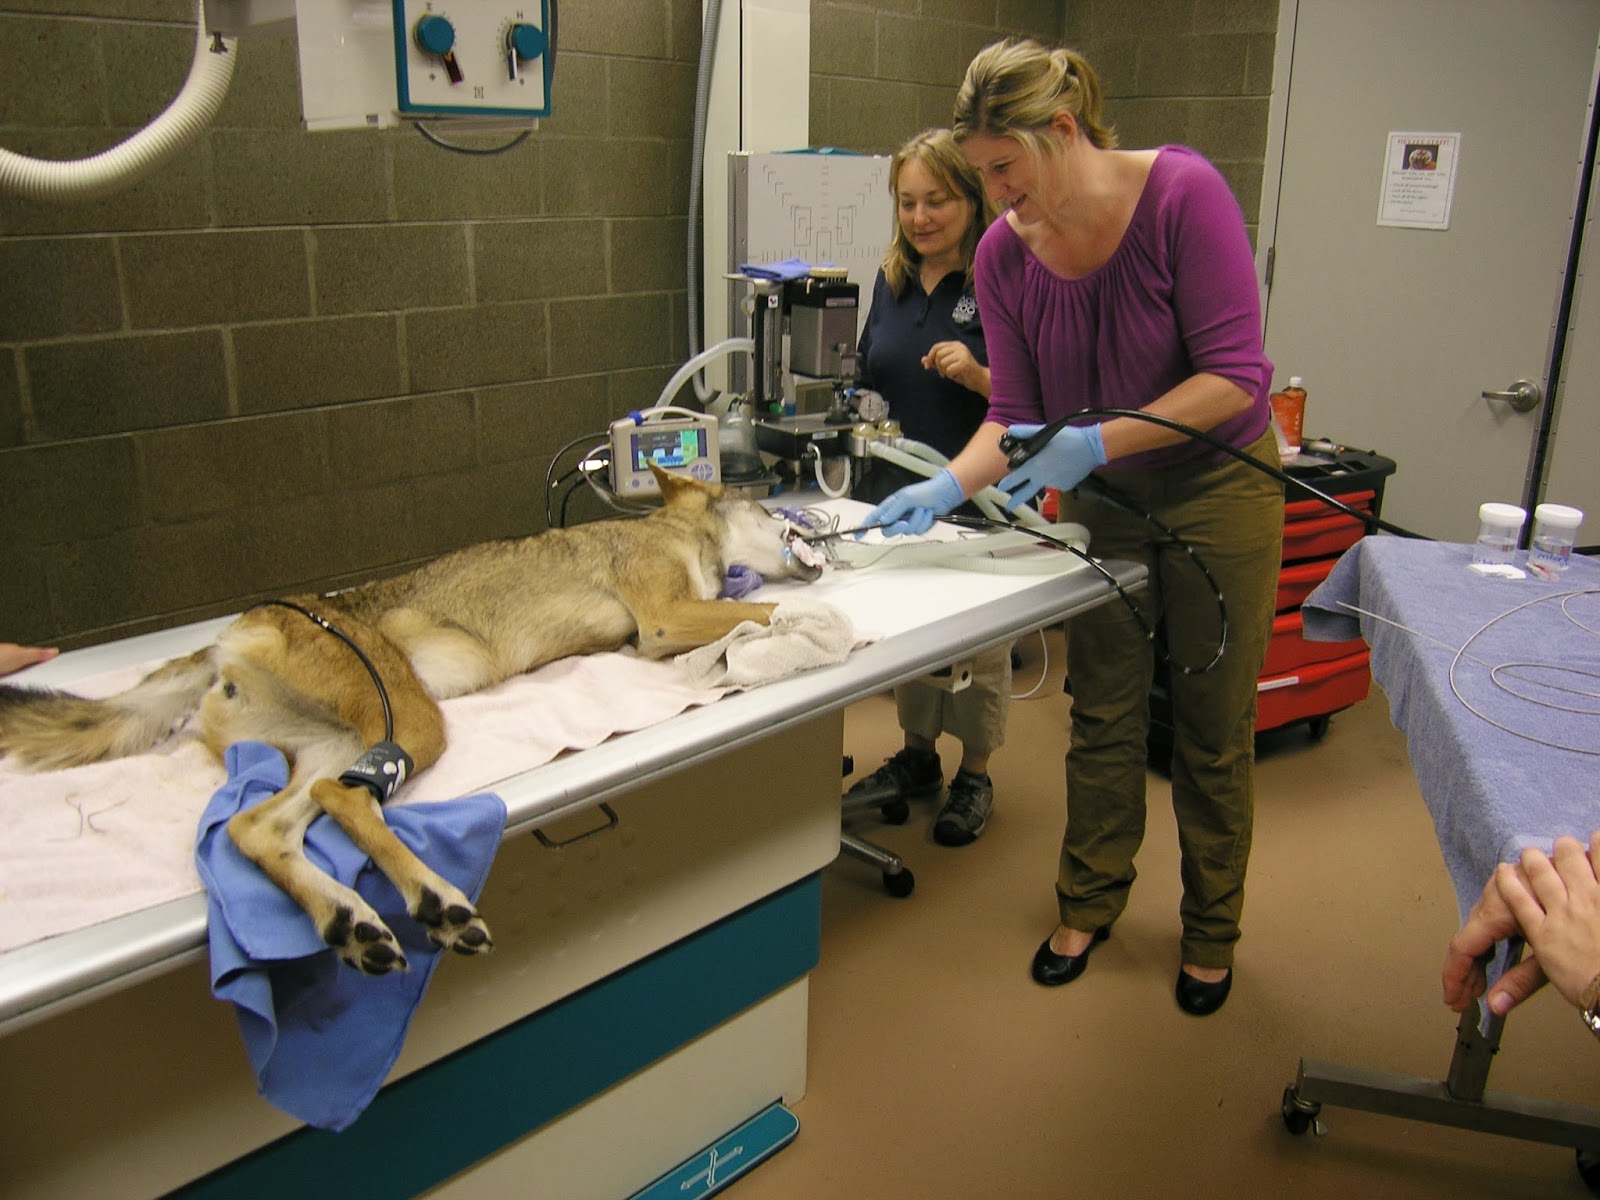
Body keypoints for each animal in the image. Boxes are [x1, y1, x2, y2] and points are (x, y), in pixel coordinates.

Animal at [0, 464, 824, 974]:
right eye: (770, 504)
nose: (814, 523)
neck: (681, 535)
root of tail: (227, 638)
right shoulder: (659, 620)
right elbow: (762, 608)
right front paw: (816, 616)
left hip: (340, 744)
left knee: (255, 828)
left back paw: (351, 925)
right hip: (411, 726)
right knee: (343, 802)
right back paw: (437, 905)